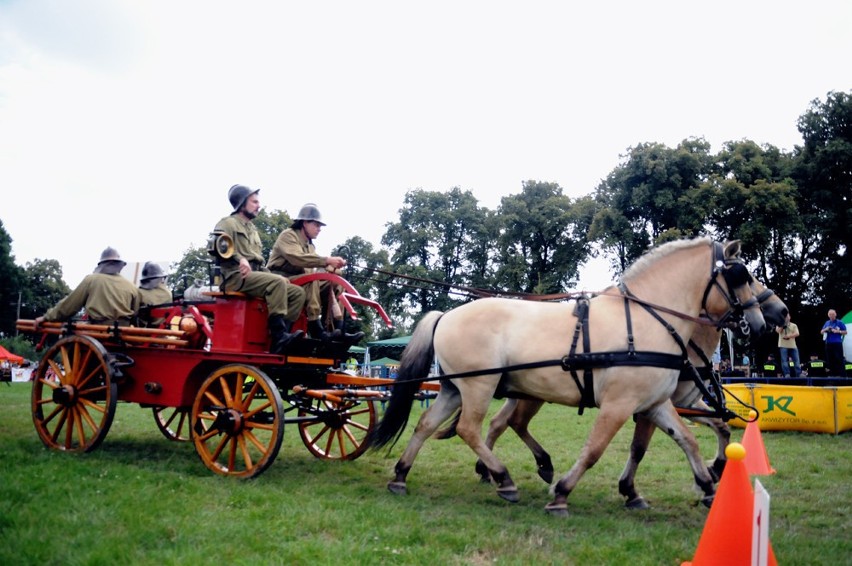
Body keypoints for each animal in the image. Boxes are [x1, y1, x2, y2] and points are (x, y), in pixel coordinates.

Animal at [366, 237, 784, 516]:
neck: (648, 319)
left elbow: (687, 440)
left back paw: (401, 475)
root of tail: (447, 314)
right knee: (471, 429)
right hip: (478, 386)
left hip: (455, 387)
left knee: (426, 424)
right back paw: (503, 478)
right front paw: (563, 493)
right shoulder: (619, 405)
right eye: (741, 275)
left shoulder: (653, 403)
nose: (774, 316)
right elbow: (595, 449)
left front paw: (709, 487)